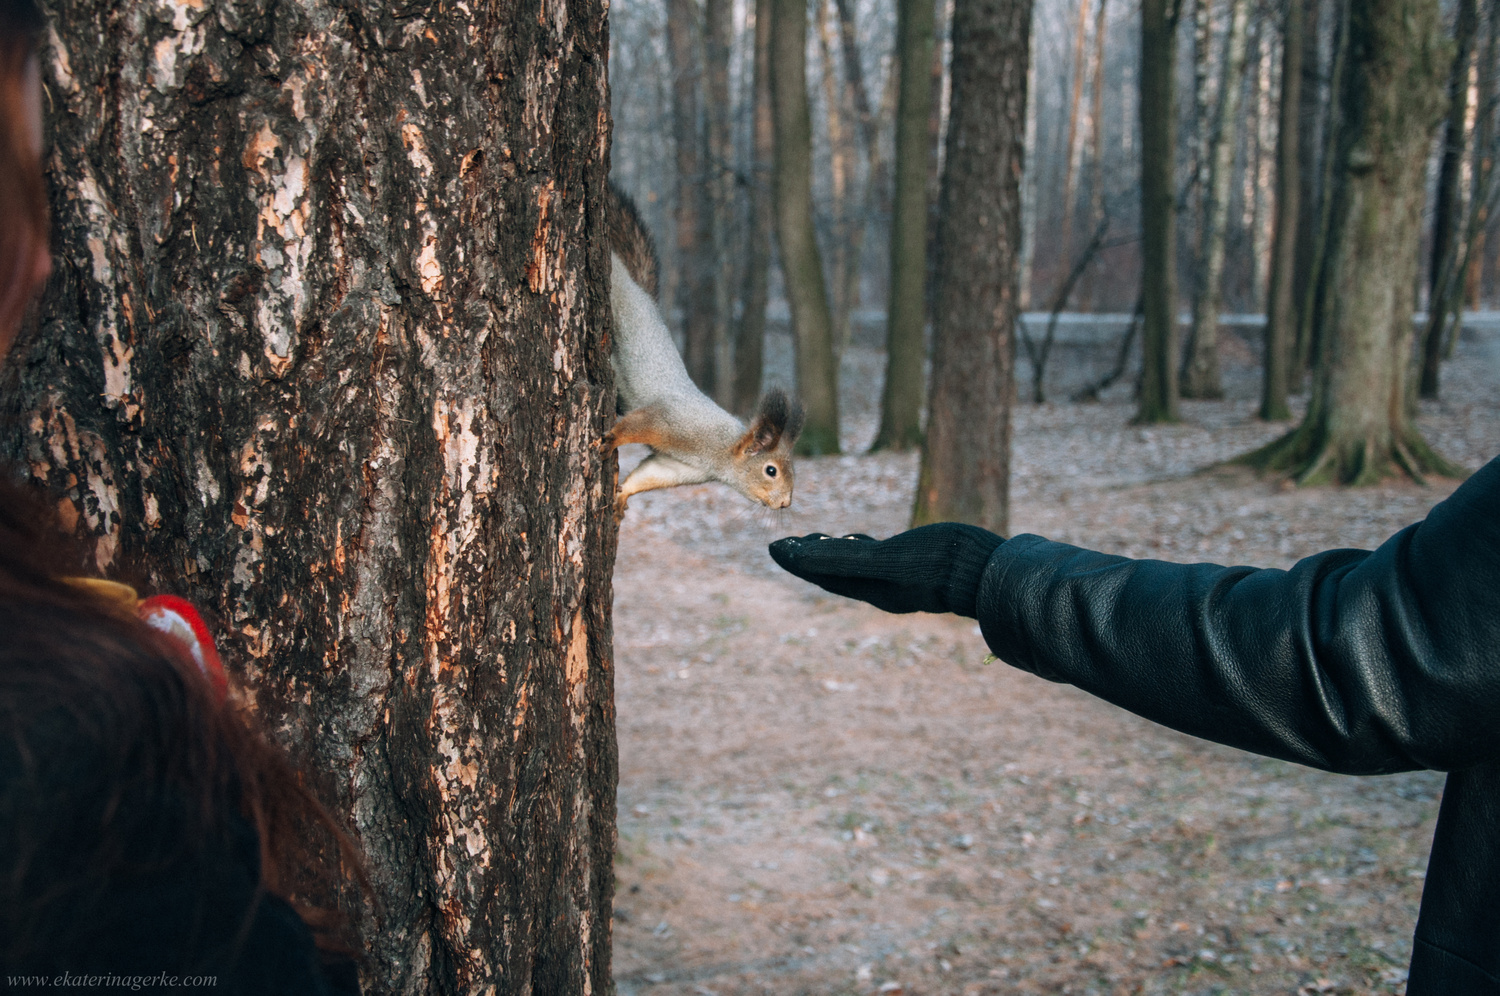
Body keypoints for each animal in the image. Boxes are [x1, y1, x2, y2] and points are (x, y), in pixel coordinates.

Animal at [603, 182, 804, 516]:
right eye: (771, 470)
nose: (786, 503)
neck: (719, 451)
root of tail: (641, 293)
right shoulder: (670, 422)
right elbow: (636, 426)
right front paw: (610, 439)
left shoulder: (679, 467)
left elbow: (648, 475)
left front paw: (622, 495)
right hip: (620, 298)